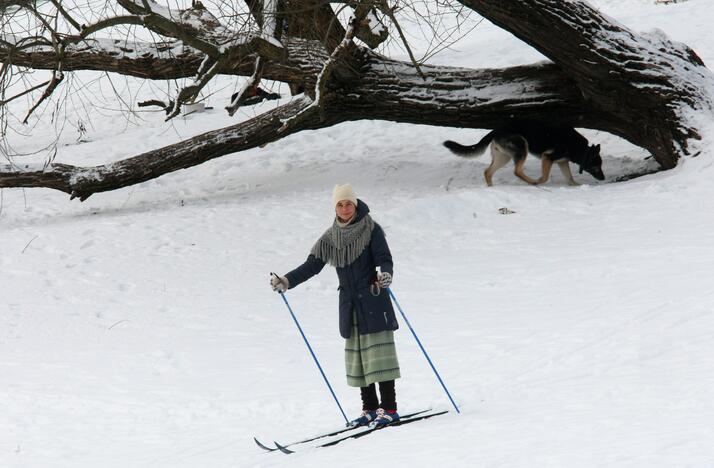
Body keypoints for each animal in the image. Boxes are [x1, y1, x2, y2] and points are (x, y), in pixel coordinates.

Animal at [444, 120, 600, 186]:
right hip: (522, 147)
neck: (582, 149)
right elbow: (545, 177)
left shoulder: (562, 162)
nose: (603, 178)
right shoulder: (547, 157)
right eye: (597, 165)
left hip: (503, 157)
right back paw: (531, 181)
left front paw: (576, 185)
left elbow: (569, 178)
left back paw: (491, 187)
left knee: (488, 172)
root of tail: (496, 130)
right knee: (517, 171)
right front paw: (538, 181)